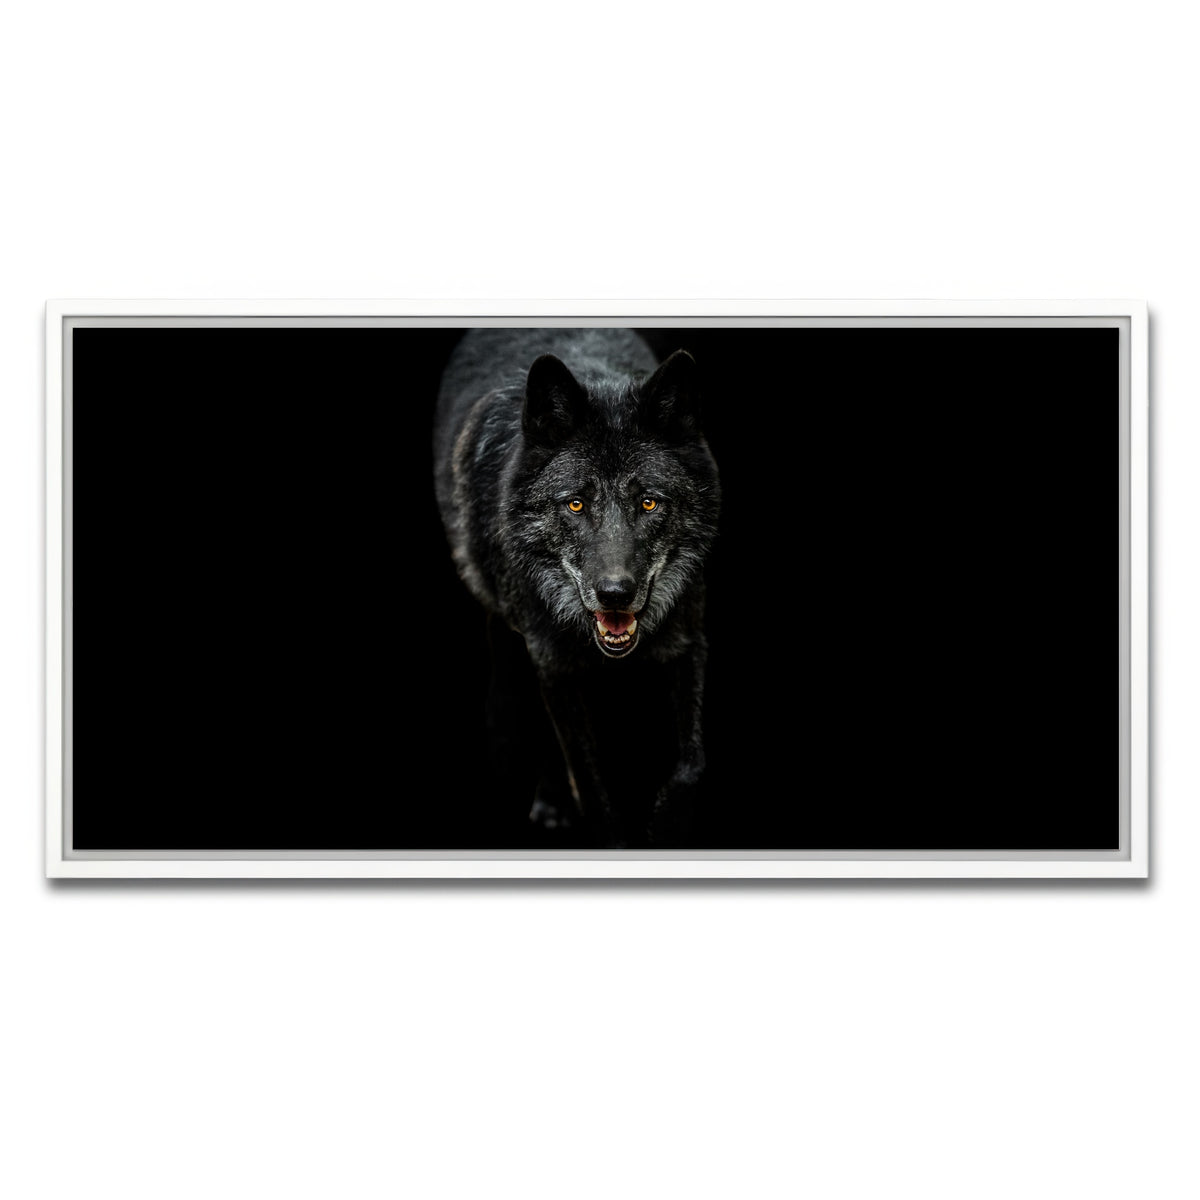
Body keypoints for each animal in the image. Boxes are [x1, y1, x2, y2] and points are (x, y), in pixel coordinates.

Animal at [434, 328, 721, 847]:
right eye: (575, 504)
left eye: (649, 503)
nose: (615, 593)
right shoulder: (551, 662)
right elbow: (589, 785)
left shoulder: (689, 639)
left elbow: (692, 763)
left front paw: (668, 827)